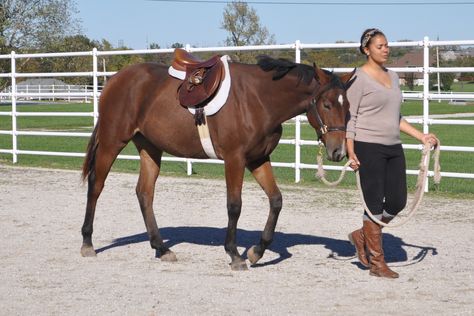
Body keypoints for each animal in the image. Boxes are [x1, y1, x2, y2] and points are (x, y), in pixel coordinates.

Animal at [81, 53, 354, 270]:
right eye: (327, 104)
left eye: (348, 107)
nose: (338, 151)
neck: (258, 99)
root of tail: (115, 80)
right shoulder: (234, 159)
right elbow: (234, 205)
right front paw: (235, 255)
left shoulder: (258, 159)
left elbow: (276, 200)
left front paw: (256, 252)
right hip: (112, 141)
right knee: (96, 186)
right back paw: (87, 243)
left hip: (149, 147)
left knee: (144, 193)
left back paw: (161, 248)